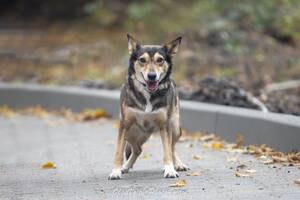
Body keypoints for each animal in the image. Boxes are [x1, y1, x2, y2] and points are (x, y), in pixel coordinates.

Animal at [108, 34, 189, 180]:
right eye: (142, 60)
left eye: (160, 60)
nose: (152, 76)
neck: (147, 94)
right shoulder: (124, 124)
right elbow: (118, 151)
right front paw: (116, 171)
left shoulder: (165, 125)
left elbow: (167, 151)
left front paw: (170, 170)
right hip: (130, 133)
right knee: (137, 150)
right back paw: (125, 167)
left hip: (175, 127)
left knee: (172, 147)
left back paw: (178, 164)